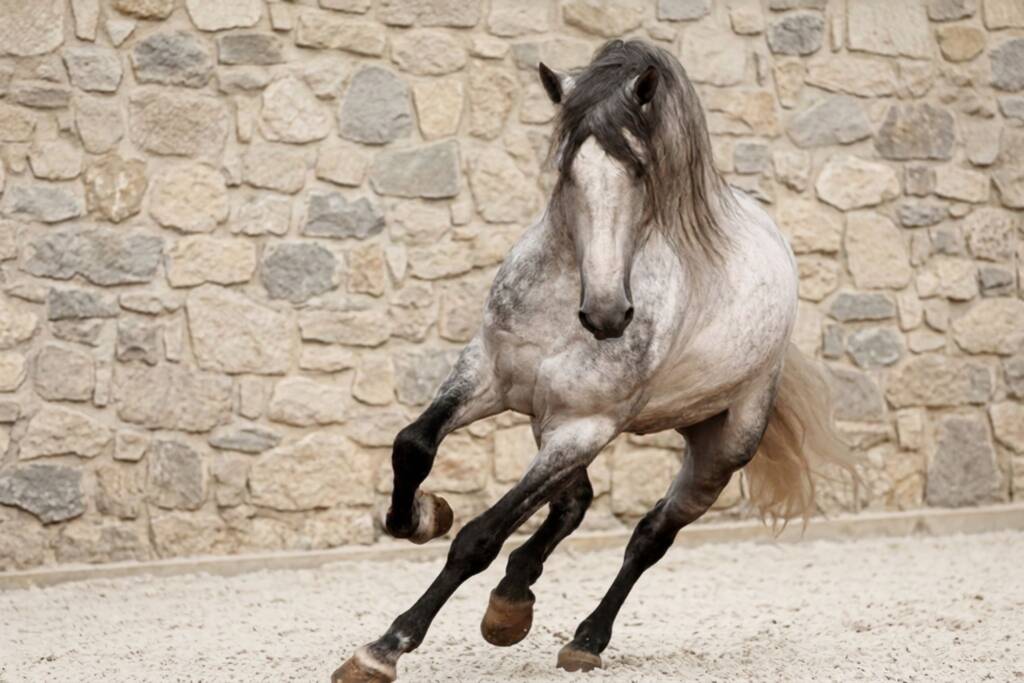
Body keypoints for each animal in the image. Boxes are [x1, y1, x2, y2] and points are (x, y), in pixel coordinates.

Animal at [333, 39, 852, 682]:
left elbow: (481, 537)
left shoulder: (584, 425)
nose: (607, 314)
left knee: (651, 534)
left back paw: (586, 638)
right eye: (565, 168)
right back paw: (511, 604)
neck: (563, 303)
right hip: (547, 422)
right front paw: (427, 516)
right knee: (573, 504)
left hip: (717, 446)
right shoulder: (488, 376)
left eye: (641, 169)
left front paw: (386, 646)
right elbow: (414, 445)